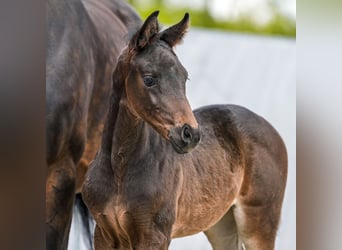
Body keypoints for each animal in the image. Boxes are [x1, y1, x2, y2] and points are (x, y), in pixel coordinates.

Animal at [81, 10, 288, 249]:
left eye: (184, 77)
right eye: (149, 79)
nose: (191, 135)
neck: (119, 169)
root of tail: (273, 132)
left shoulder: (155, 235)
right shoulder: (104, 234)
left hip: (259, 224)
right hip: (221, 223)